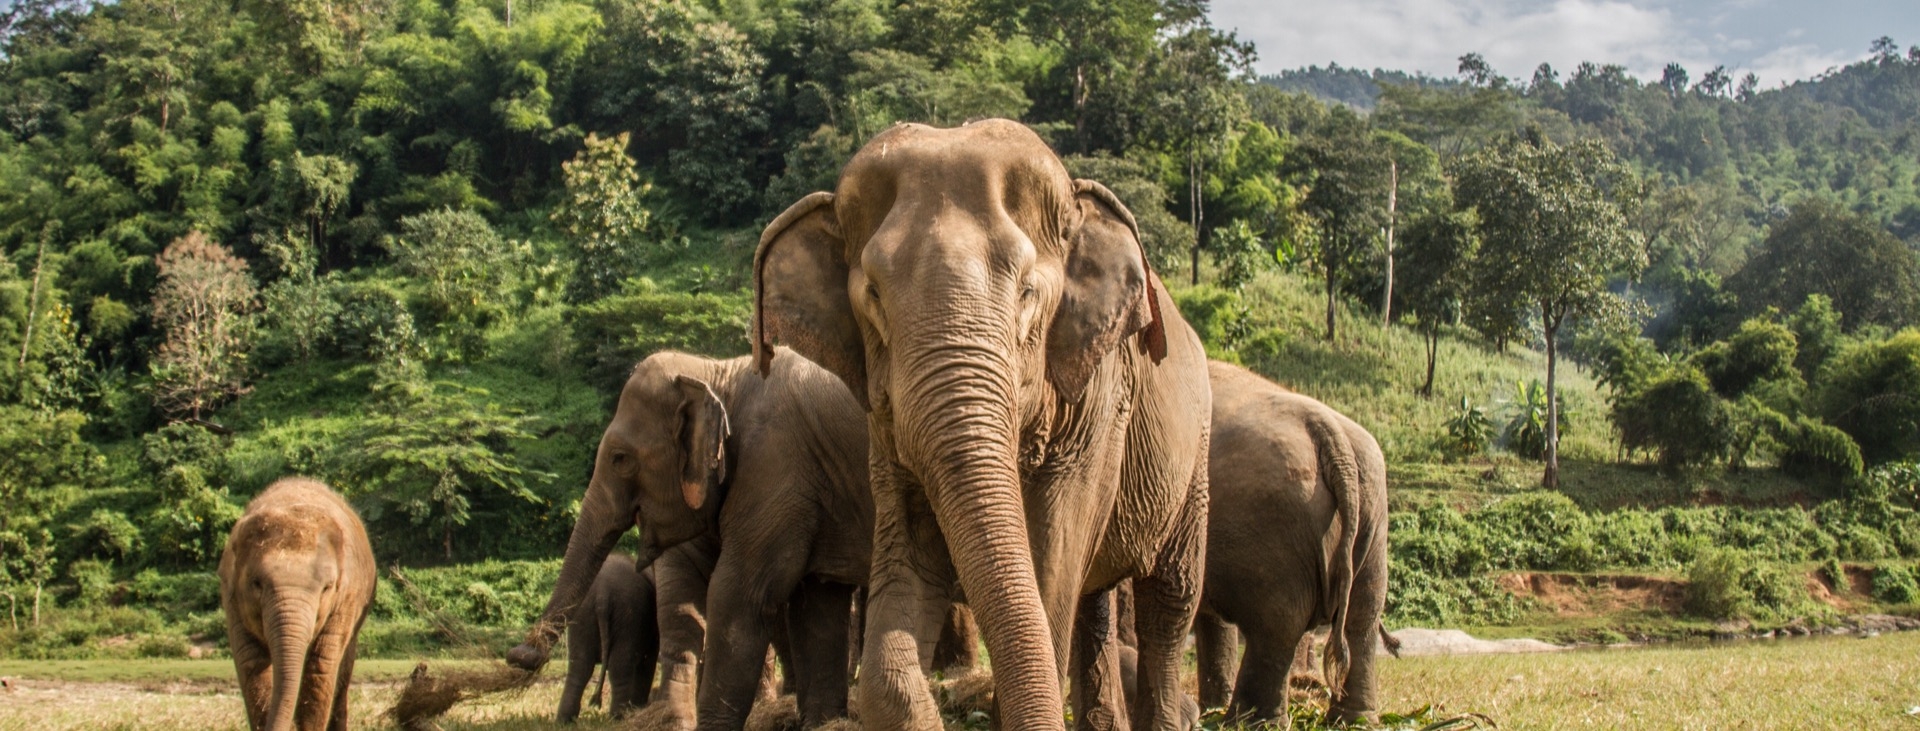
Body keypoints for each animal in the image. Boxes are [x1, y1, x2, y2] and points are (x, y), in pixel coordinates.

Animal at [219, 477, 376, 729]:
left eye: (327, 588)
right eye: (256, 583)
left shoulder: (347, 599)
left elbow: (321, 667)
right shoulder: (231, 596)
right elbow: (252, 664)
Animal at [560, 556, 664, 721]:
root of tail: (602, 594)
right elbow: (648, 661)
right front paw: (638, 708)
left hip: (583, 615)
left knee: (579, 666)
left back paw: (565, 720)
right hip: (628, 615)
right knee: (619, 665)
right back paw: (618, 716)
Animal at [756, 119, 1205, 729]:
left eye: (1027, 292)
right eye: (873, 295)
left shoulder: (1099, 398)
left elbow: (1051, 561)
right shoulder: (885, 423)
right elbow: (911, 561)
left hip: (1195, 458)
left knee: (1170, 599)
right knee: (1096, 599)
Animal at [1190, 362, 1390, 725]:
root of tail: (1332, 437)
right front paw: (1208, 707)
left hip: (1269, 525)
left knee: (1276, 624)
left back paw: (1248, 722)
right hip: (1373, 516)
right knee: (1363, 615)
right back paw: (1353, 720)